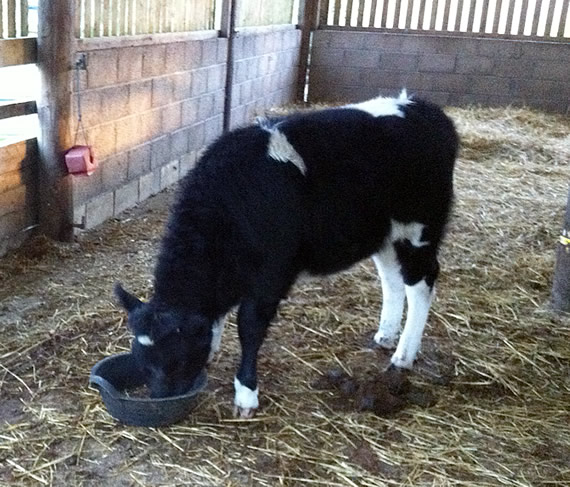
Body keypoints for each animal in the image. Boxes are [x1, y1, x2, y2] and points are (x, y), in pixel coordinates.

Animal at [115, 91, 458, 420]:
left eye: (178, 359)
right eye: (142, 359)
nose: (159, 400)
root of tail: (424, 109)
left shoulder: (271, 276)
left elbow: (249, 328)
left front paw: (246, 394)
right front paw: (212, 350)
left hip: (419, 231)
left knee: (420, 284)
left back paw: (403, 355)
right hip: (385, 235)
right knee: (392, 280)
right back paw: (386, 335)